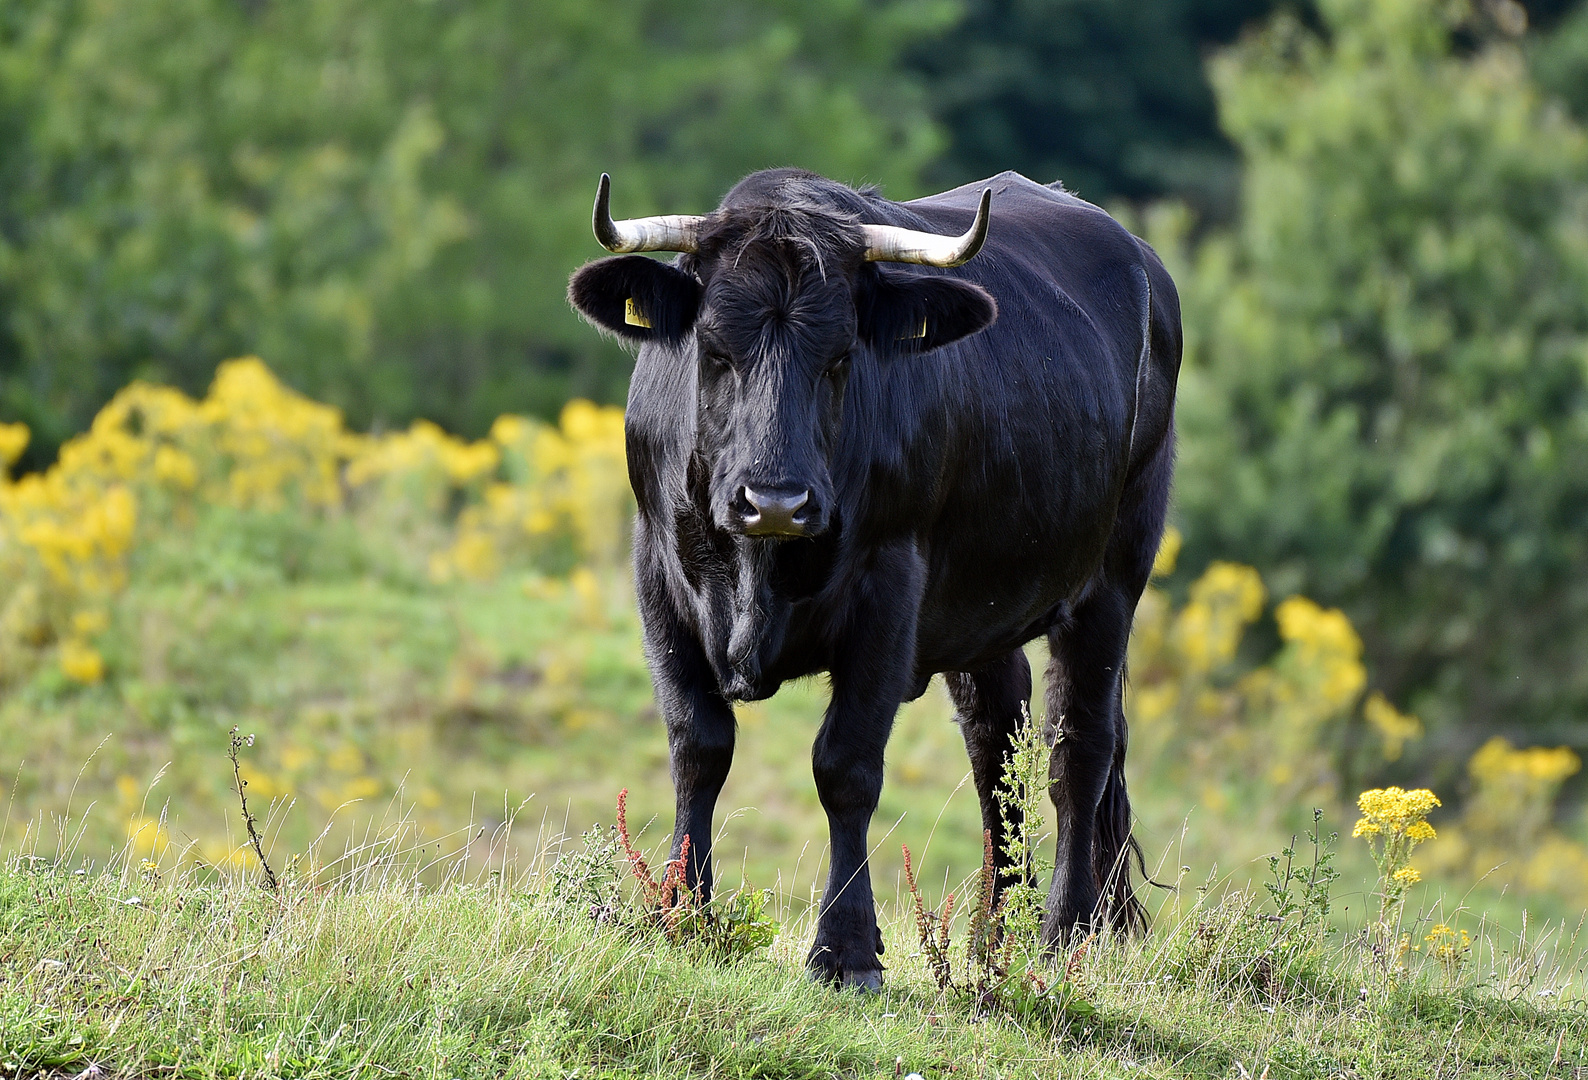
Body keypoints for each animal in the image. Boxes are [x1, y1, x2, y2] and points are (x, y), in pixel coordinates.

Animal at [571, 166, 1181, 984]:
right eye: (714, 348)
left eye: (840, 357)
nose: (775, 500)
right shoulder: (659, 579)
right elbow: (698, 745)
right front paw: (682, 914)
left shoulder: (890, 591)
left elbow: (847, 766)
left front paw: (846, 949)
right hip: (982, 613)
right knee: (996, 747)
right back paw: (991, 939)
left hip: (1113, 577)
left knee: (1077, 747)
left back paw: (1063, 932)